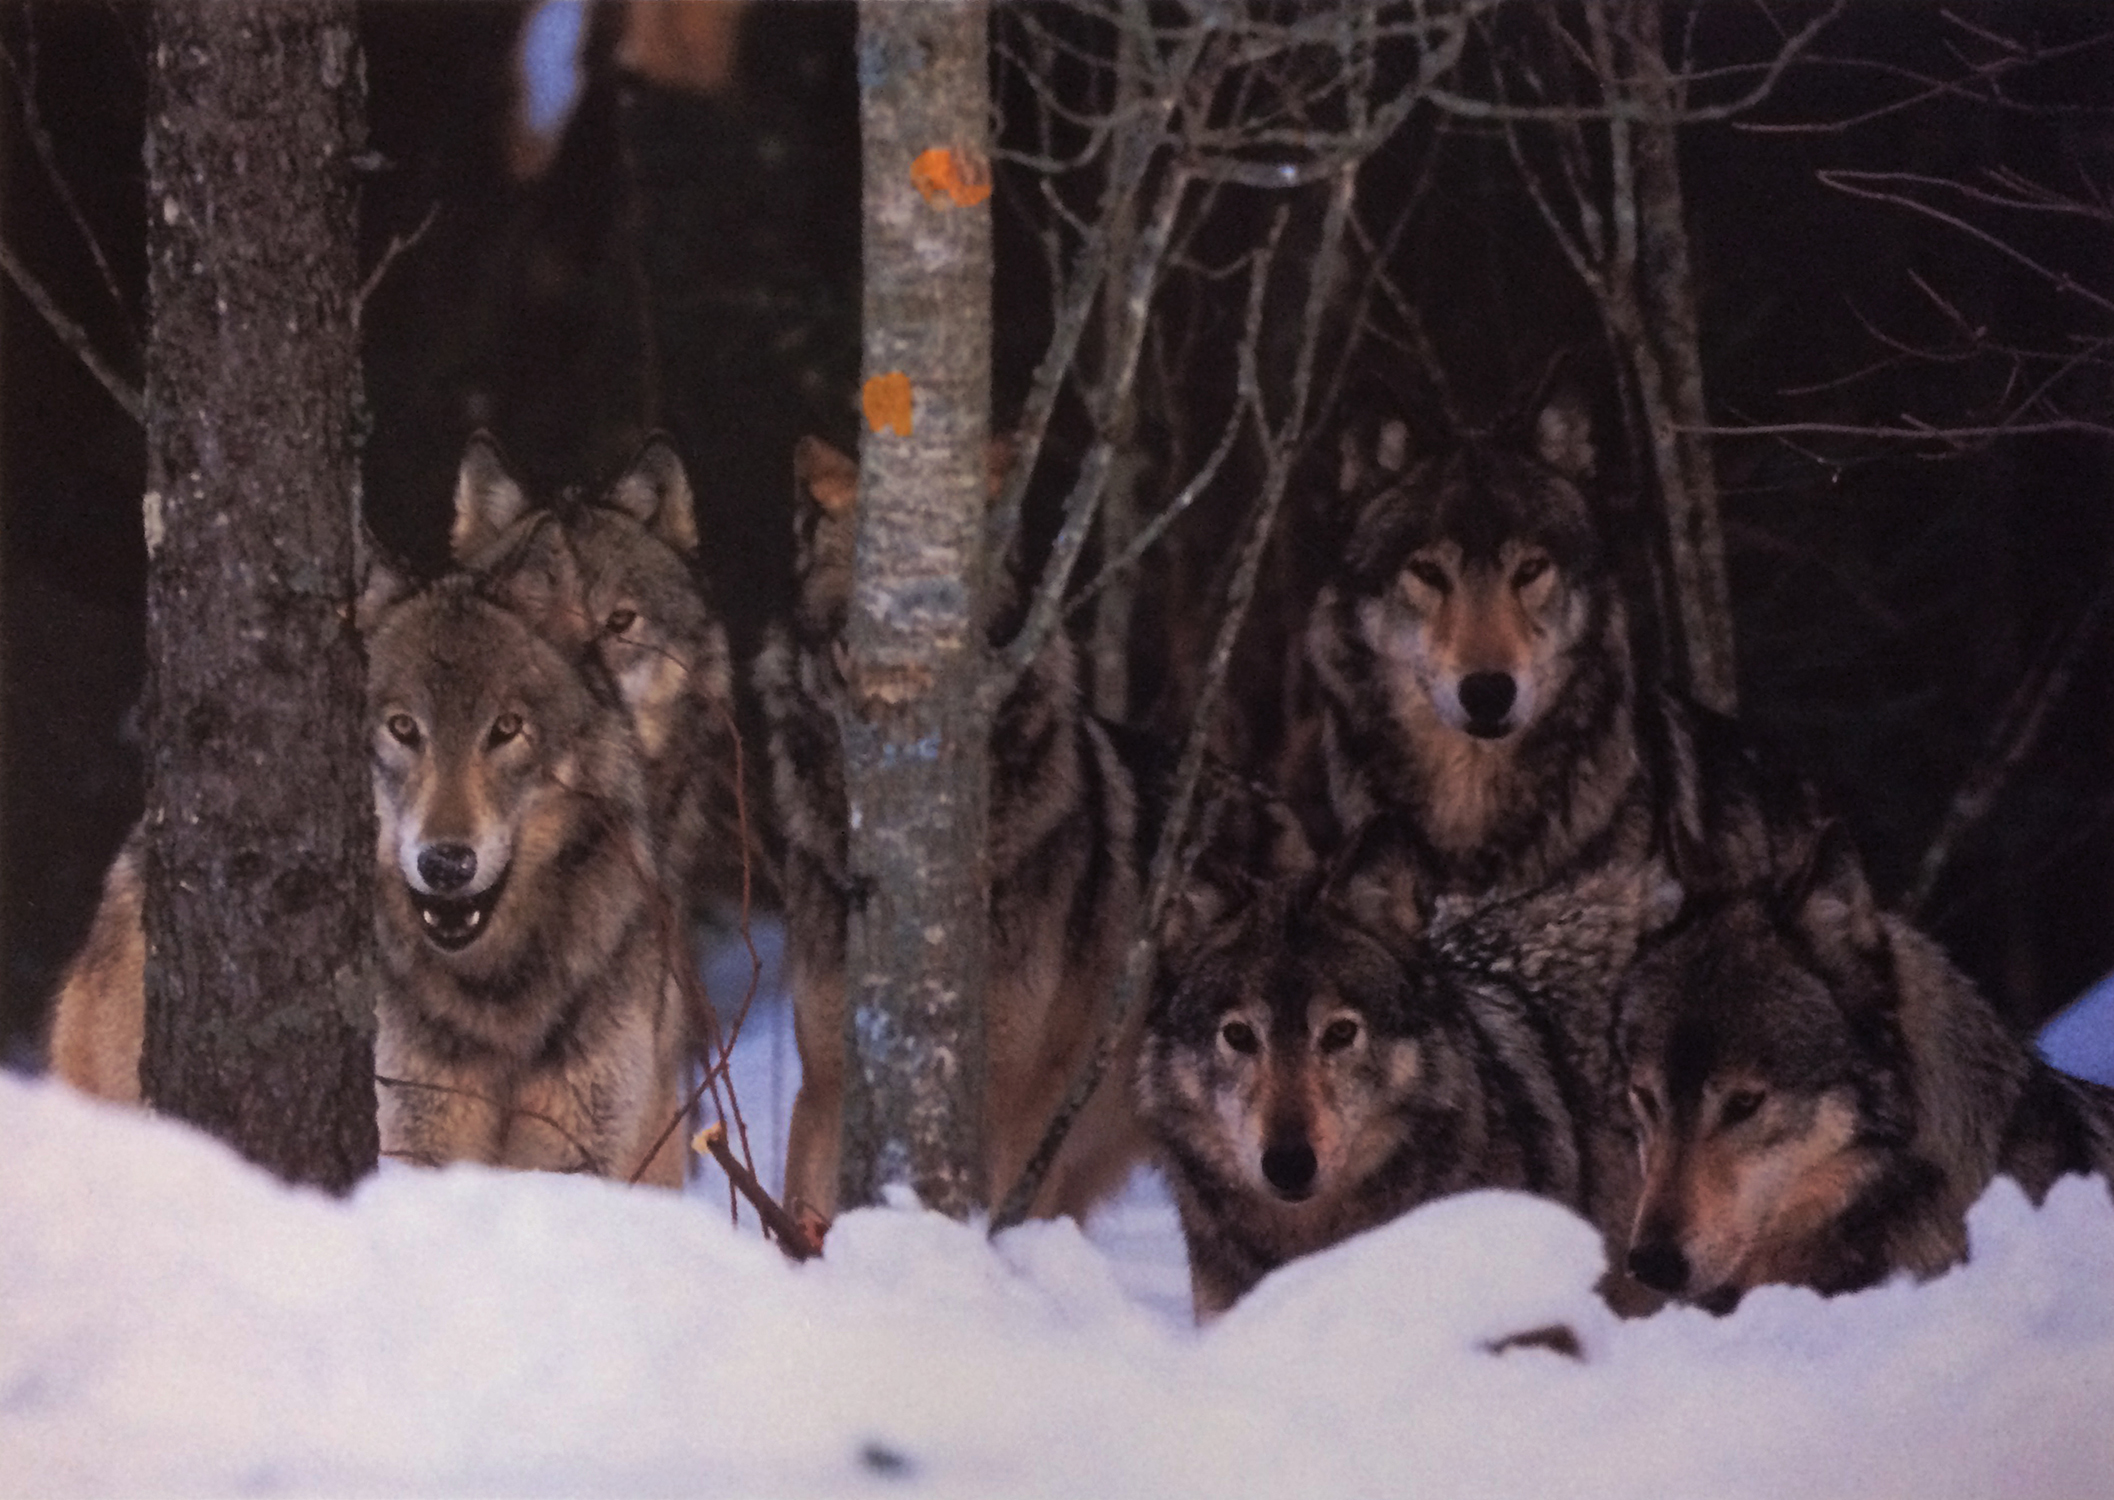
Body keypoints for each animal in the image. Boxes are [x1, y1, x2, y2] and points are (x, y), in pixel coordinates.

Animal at [48, 558, 688, 1187]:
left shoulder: (580, 1154)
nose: (446, 864)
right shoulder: (414, 1140)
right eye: (403, 728)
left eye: (506, 728)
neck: (496, 993)